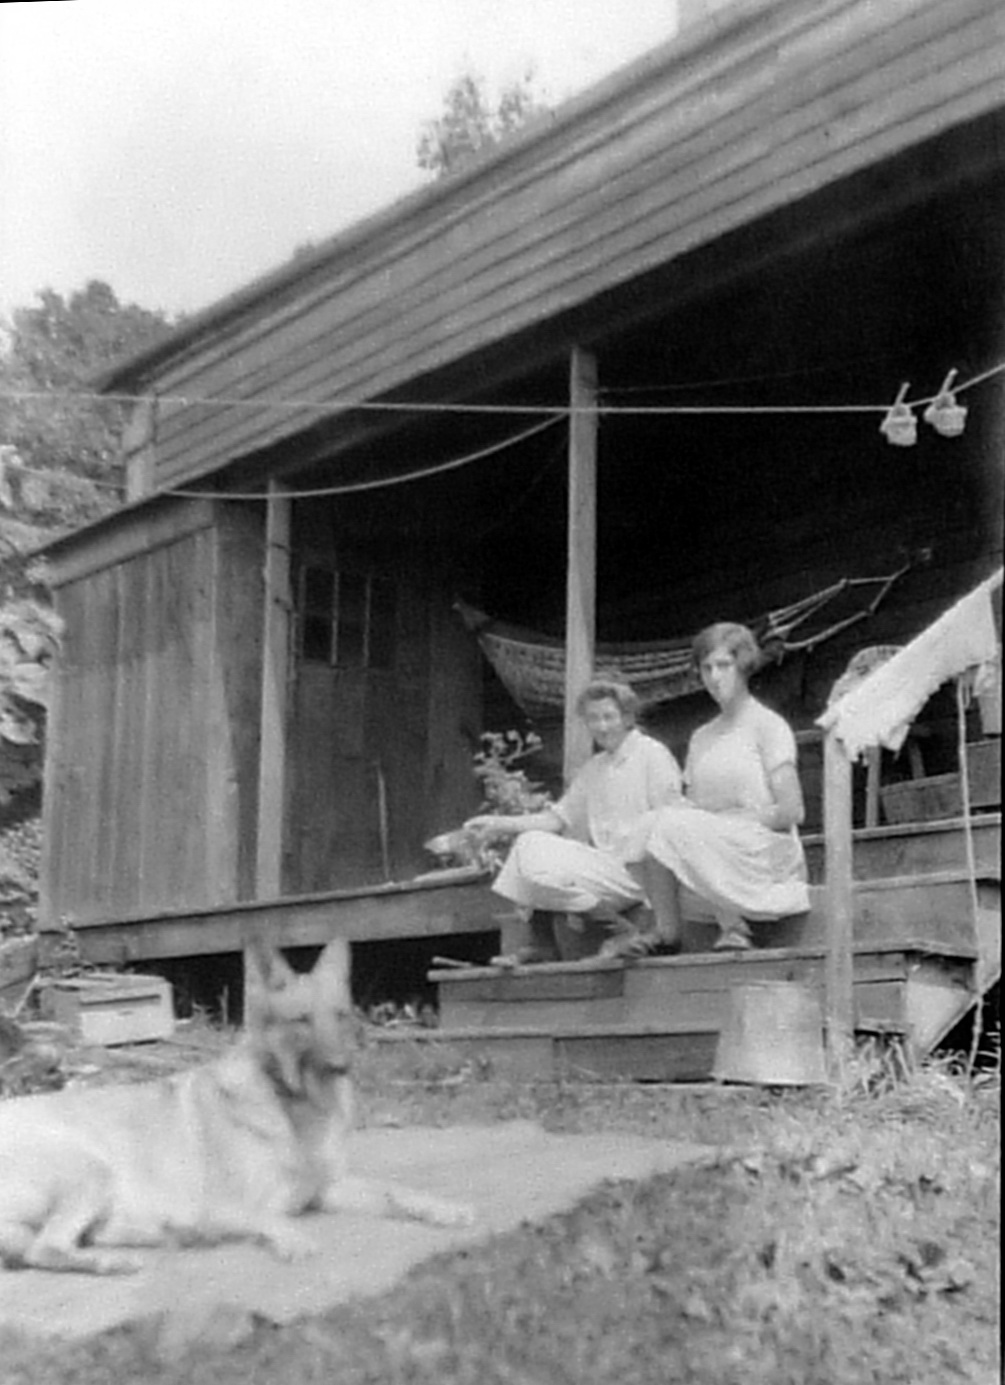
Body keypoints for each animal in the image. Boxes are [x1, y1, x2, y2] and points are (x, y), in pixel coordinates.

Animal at [0, 937, 474, 1274]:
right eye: (301, 1021)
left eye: (340, 1015)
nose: (342, 1068)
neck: (293, 1109)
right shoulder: (225, 1207)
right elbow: (271, 1218)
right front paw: (293, 1240)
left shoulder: (328, 1189)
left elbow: (397, 1190)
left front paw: (443, 1207)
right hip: (91, 1170)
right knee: (44, 1249)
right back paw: (119, 1258)